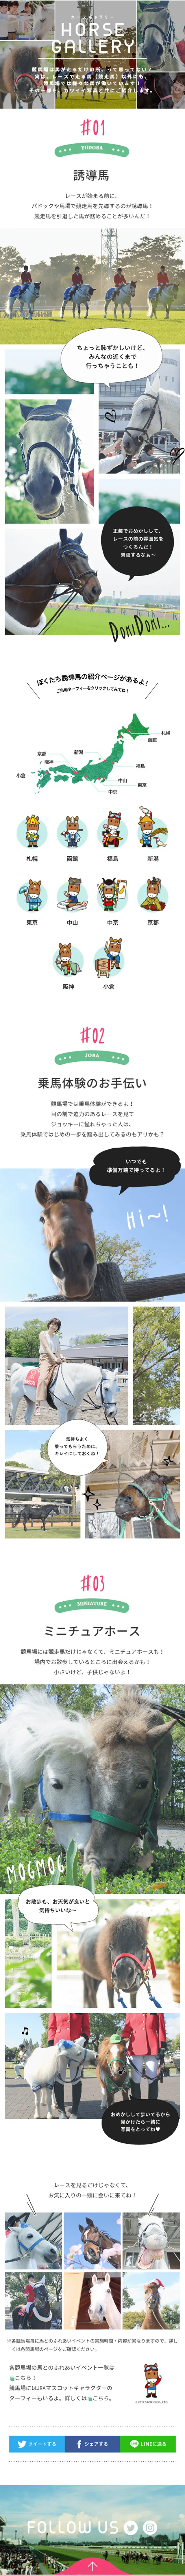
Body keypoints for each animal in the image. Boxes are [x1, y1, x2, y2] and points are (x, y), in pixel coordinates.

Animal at [7, 279, 40, 319]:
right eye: (35, 289)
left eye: (39, 289)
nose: (37, 297)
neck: (31, 292)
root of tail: (13, 288)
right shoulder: (29, 302)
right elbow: (30, 311)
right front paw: (30, 318)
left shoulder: (33, 302)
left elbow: (32, 311)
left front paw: (28, 317)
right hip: (13, 300)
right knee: (11, 308)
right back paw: (11, 317)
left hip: (22, 302)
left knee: (21, 309)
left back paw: (24, 317)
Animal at [9, 1356, 121, 1425]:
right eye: (106, 1389)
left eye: (117, 1389)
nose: (113, 1412)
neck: (72, 1383)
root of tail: (20, 1369)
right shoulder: (62, 1409)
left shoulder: (74, 1411)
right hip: (15, 1399)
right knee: (12, 1416)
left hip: (30, 1401)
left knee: (28, 1418)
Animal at [104, 281, 136, 320]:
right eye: (131, 287)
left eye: (135, 287)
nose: (133, 295)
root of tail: (109, 290)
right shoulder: (122, 303)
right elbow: (123, 311)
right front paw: (123, 317)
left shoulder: (128, 302)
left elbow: (131, 309)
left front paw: (130, 316)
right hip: (108, 301)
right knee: (106, 308)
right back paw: (105, 316)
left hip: (116, 303)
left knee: (115, 310)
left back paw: (116, 317)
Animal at [147, 281, 179, 321]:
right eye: (174, 290)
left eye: (178, 290)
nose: (176, 297)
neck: (168, 293)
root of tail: (151, 290)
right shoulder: (164, 303)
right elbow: (167, 310)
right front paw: (166, 318)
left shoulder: (170, 303)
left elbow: (169, 310)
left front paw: (168, 318)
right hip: (153, 302)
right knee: (154, 310)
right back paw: (156, 318)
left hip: (156, 303)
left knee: (153, 309)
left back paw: (151, 317)